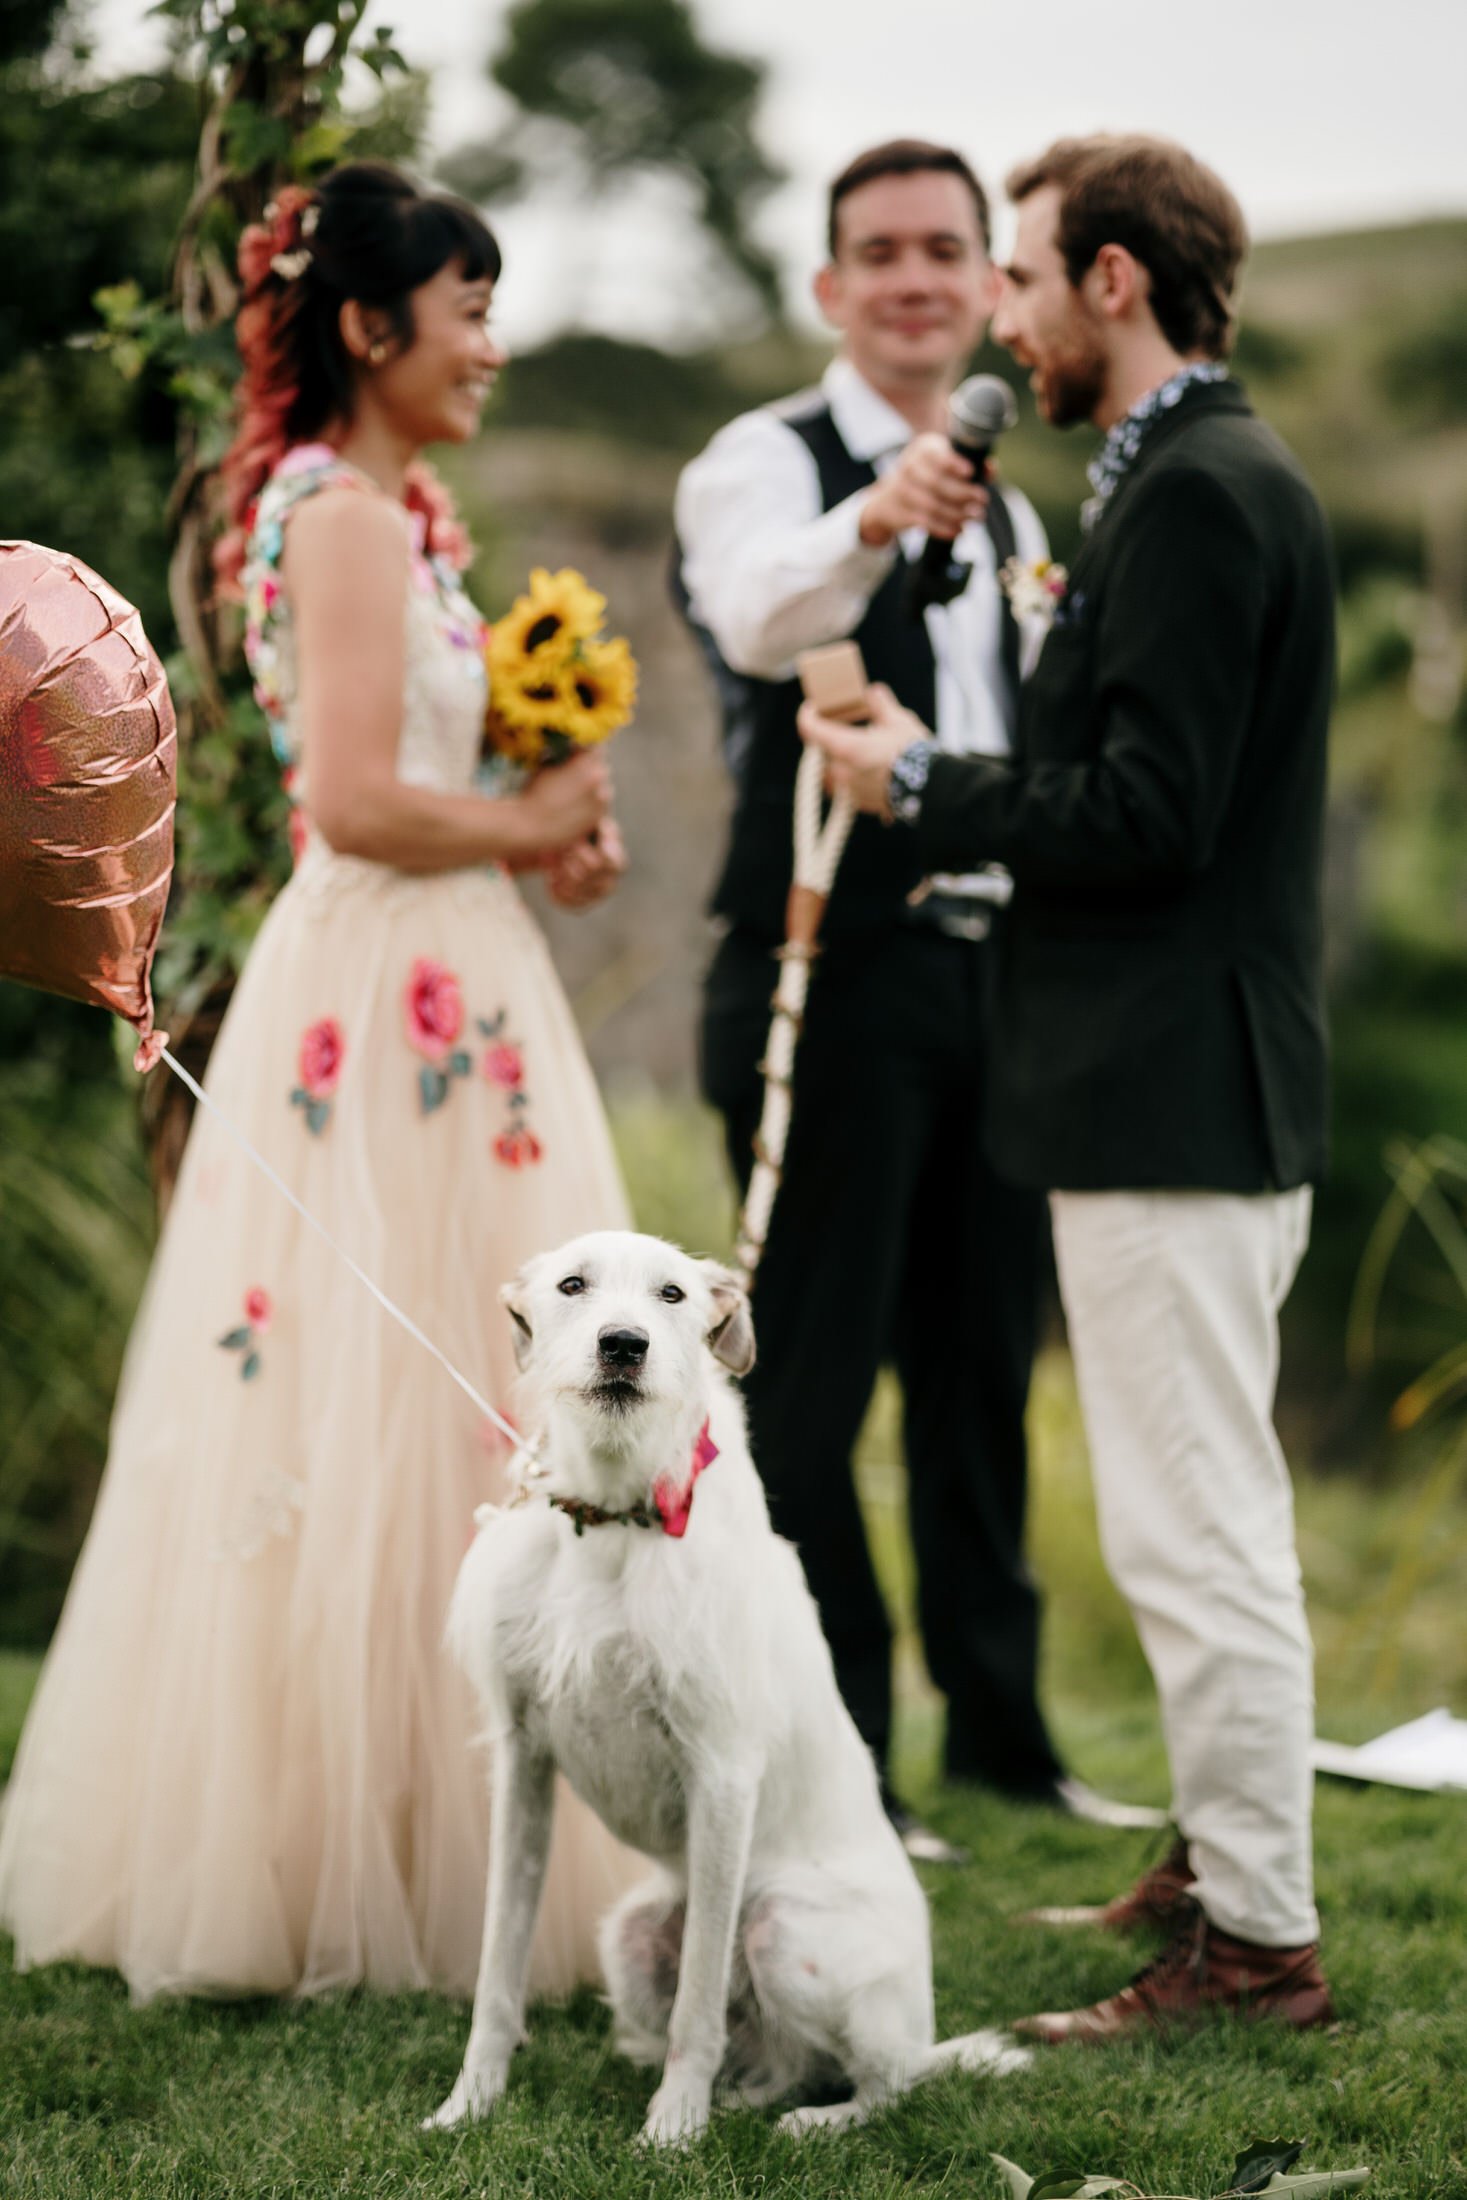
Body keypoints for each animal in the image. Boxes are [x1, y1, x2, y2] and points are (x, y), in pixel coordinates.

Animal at [417, 1232, 1029, 2138]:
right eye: (572, 1285)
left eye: (671, 1294)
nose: (623, 1345)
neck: (617, 1511)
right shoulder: (522, 1758)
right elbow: (500, 1966)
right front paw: (469, 2104)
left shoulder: (721, 1772)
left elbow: (699, 1998)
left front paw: (673, 2128)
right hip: (631, 1936)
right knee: (779, 2057)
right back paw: (741, 2089)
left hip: (786, 1935)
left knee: (885, 2079)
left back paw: (814, 2121)